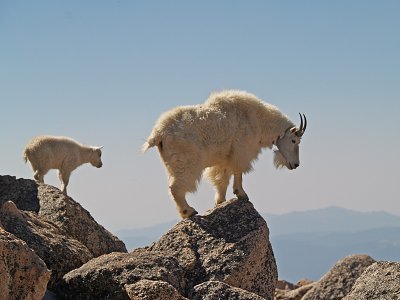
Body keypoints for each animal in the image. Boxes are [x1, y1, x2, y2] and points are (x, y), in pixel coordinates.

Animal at [142, 89, 308, 218]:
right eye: (294, 140)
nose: (295, 164)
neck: (258, 119)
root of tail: (158, 133)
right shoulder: (241, 150)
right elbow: (238, 172)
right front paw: (241, 194)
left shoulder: (224, 158)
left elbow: (221, 179)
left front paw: (220, 201)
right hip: (185, 161)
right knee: (175, 187)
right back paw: (188, 211)